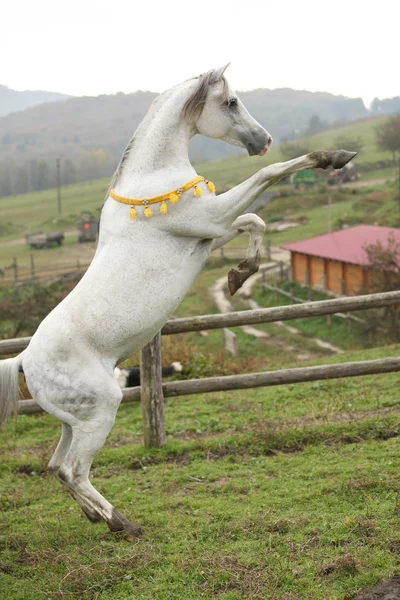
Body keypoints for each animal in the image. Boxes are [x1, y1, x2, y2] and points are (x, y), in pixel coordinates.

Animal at [0, 65, 356, 540]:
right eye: (230, 102)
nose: (263, 140)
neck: (152, 181)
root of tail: (24, 360)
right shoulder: (212, 218)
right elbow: (269, 176)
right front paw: (334, 156)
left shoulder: (210, 234)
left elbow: (255, 221)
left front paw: (239, 275)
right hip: (100, 410)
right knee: (74, 470)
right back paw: (123, 523)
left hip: (71, 420)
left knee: (56, 467)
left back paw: (98, 517)